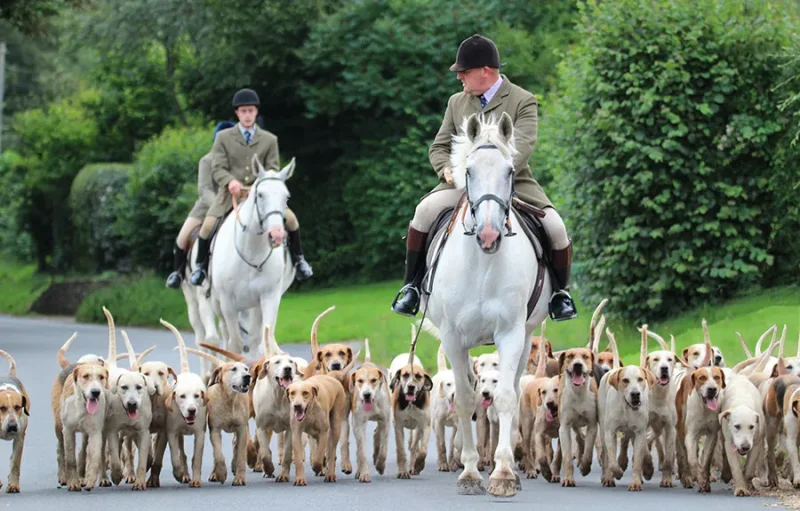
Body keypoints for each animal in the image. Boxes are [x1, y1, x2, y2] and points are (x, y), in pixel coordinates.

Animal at [203, 156, 296, 372]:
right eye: (260, 195)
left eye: (286, 197)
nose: (277, 235)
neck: (251, 253)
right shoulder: (228, 304)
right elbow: (234, 344)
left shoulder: (269, 297)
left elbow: (263, 340)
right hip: (219, 304)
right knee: (226, 336)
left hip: (254, 307)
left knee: (254, 339)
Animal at [424, 113, 552, 500]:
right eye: (468, 171)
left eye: (510, 171)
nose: (489, 235)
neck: (482, 262)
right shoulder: (453, 338)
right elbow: (467, 401)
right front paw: (469, 474)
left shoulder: (510, 333)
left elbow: (507, 397)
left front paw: (504, 474)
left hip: (526, 337)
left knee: (513, 388)